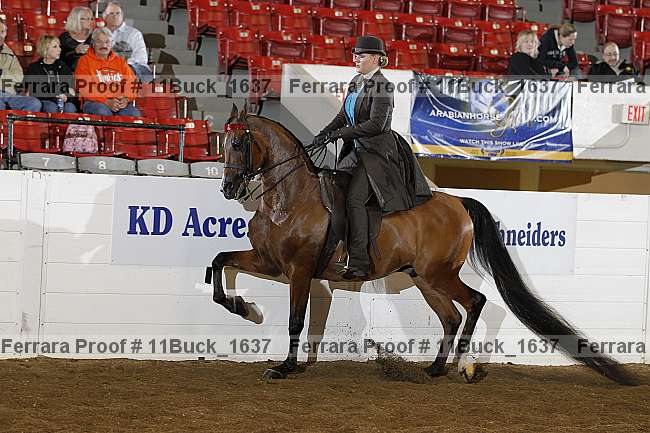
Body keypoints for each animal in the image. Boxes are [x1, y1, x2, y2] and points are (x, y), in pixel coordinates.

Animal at [210, 104, 637, 385]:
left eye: (239, 142)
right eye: (221, 141)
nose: (228, 188)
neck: (290, 198)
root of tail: (458, 201)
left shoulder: (299, 271)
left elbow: (296, 321)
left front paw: (283, 367)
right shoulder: (268, 262)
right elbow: (220, 260)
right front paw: (242, 307)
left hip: (439, 274)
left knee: (476, 302)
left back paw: (464, 366)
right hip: (424, 278)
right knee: (450, 317)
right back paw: (435, 367)